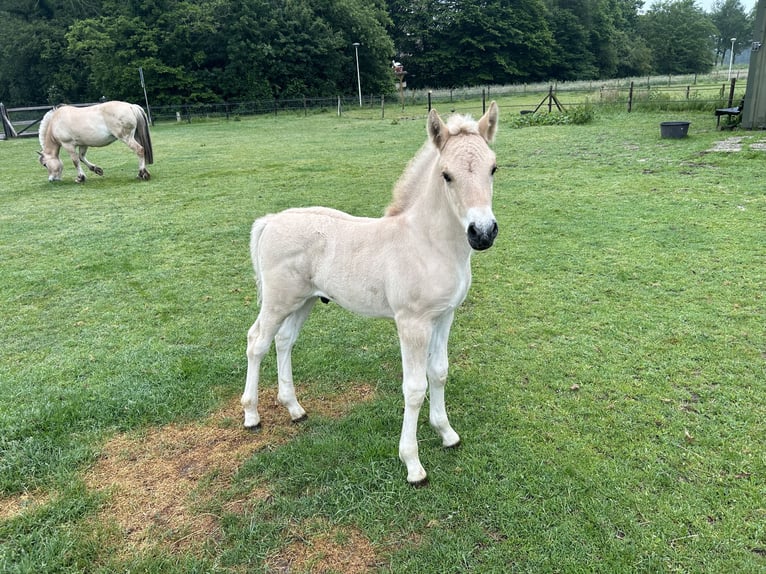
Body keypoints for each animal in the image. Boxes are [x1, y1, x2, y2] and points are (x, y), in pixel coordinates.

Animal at [243, 103, 500, 486]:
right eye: (446, 175)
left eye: (493, 168)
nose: (482, 233)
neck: (427, 243)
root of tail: (271, 220)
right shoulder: (412, 323)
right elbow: (414, 388)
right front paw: (412, 464)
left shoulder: (444, 316)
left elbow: (439, 372)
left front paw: (447, 434)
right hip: (278, 301)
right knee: (256, 342)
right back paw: (251, 415)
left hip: (304, 301)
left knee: (284, 341)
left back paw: (294, 408)